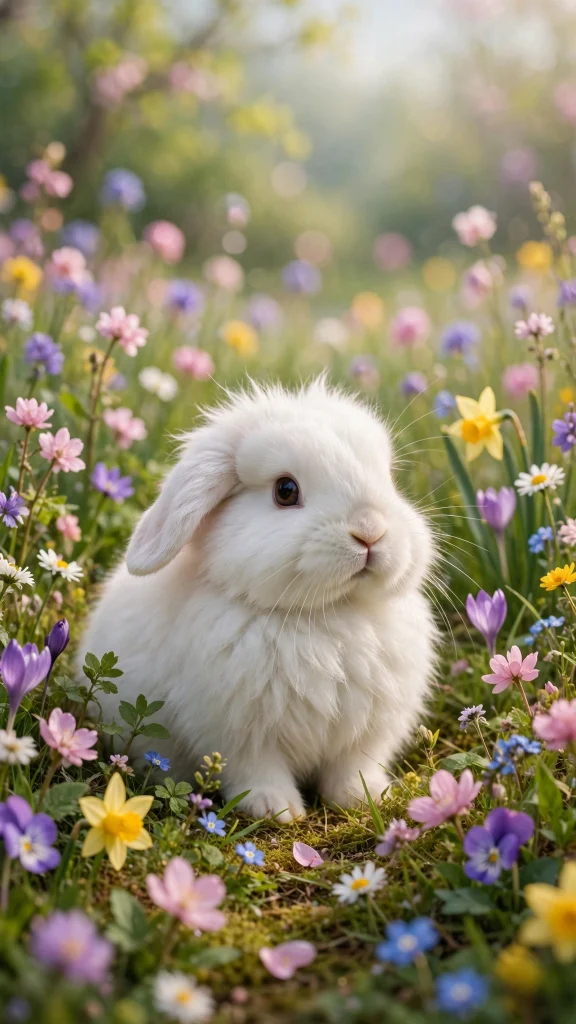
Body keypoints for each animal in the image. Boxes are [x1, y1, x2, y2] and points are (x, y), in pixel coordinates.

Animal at [79, 379, 438, 821]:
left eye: (389, 478)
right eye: (285, 491)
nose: (370, 531)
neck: (325, 615)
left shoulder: (366, 734)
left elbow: (352, 768)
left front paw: (367, 797)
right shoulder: (237, 733)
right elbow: (257, 770)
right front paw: (277, 809)